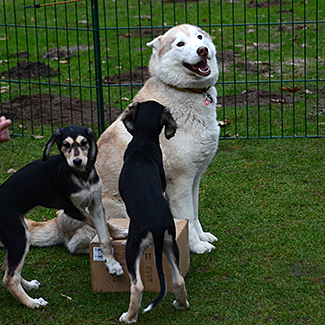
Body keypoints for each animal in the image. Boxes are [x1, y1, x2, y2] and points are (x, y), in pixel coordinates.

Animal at [0, 124, 123, 308]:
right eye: (65, 144)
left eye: (84, 142)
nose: (77, 161)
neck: (81, 175)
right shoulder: (72, 209)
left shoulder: (96, 205)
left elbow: (105, 234)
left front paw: (113, 261)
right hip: (20, 237)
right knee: (9, 278)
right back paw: (33, 303)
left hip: (15, 237)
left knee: (6, 269)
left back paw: (29, 286)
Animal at [28, 24, 220, 254]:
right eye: (180, 44)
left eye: (200, 37)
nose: (202, 50)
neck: (185, 92)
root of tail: (58, 224)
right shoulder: (180, 181)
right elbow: (188, 217)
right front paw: (195, 245)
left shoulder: (194, 177)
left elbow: (195, 212)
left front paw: (202, 236)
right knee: (78, 243)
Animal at [117, 100, 189, 322]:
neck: (144, 142)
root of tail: (156, 227)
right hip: (170, 244)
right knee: (178, 280)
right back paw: (181, 304)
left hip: (132, 248)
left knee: (138, 286)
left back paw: (128, 317)